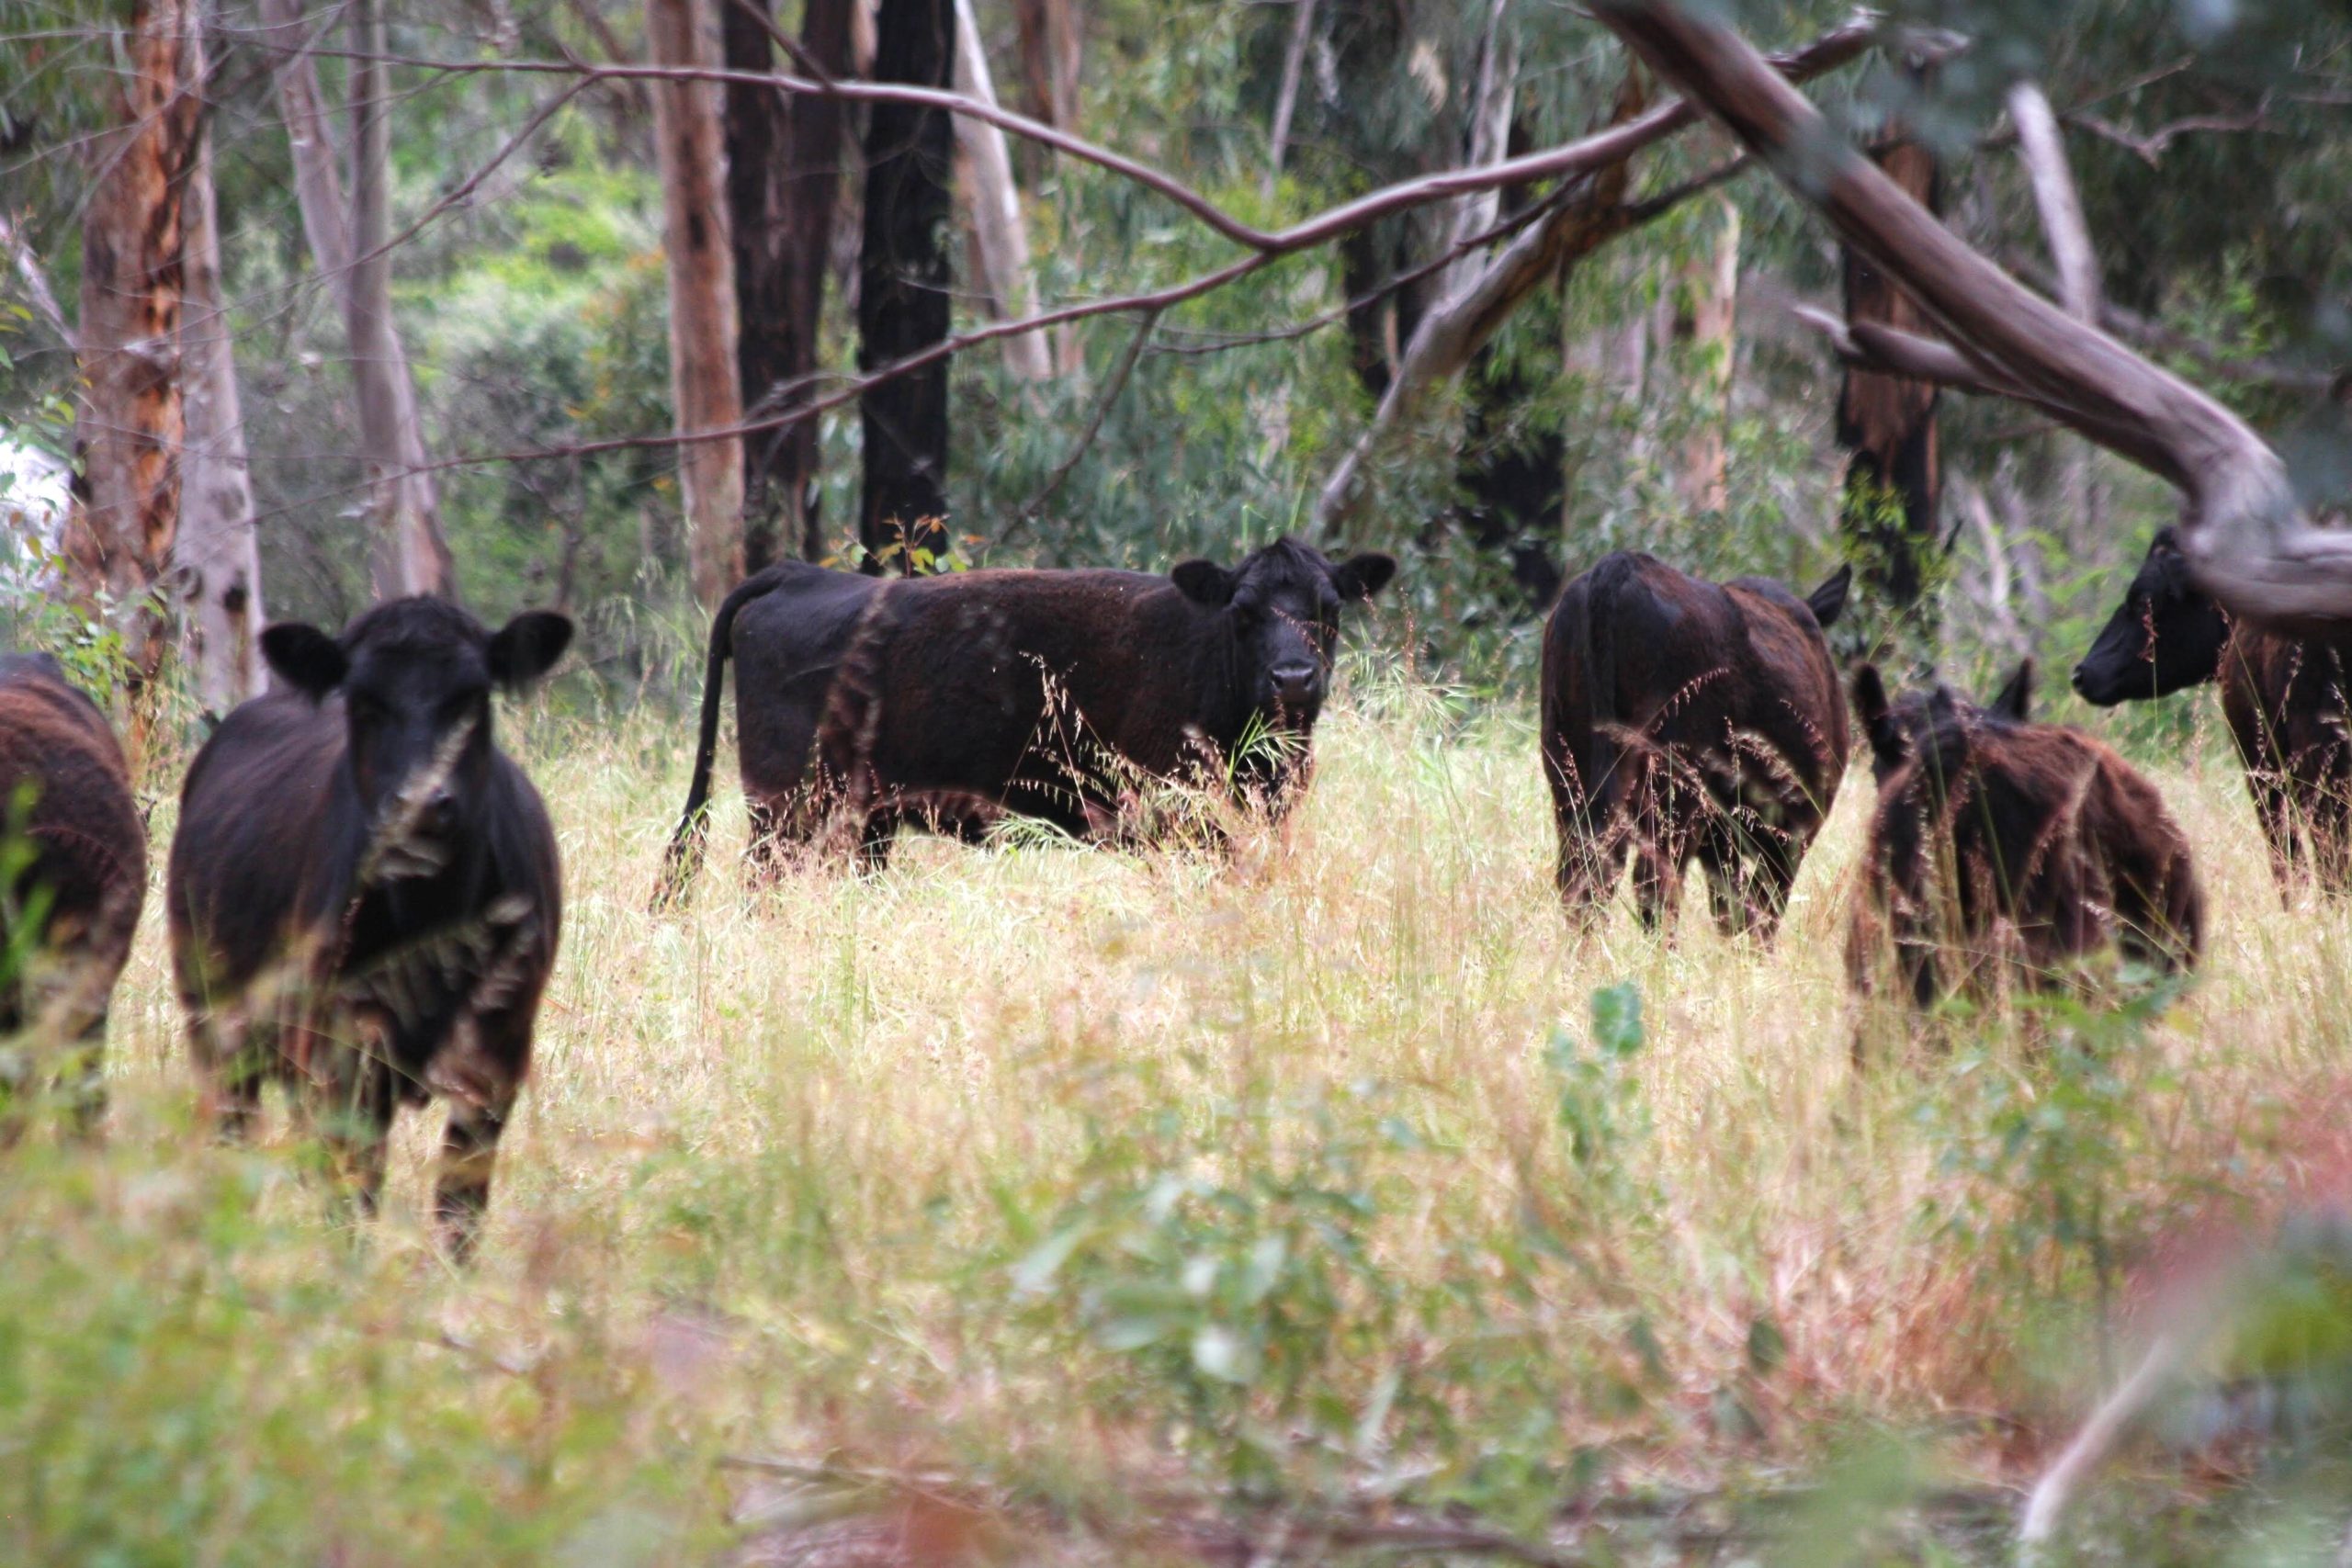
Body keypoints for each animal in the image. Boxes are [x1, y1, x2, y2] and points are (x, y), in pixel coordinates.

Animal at [167, 598, 570, 1256]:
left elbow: (459, 1205)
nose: (423, 803)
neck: (429, 914)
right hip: (216, 1019)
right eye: (363, 701)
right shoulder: (341, 1052)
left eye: (472, 697)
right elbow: (353, 1194)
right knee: (235, 1134)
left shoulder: (498, 1049)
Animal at [659, 537, 1397, 888]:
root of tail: (796, 572)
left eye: (1330, 608)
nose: (1293, 678)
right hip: (784, 808)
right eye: (1243, 612)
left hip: (866, 818)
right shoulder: (1180, 817)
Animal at [1539, 551, 1851, 936]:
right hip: (1674, 788)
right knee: (1655, 883)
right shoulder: (1791, 831)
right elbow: (1759, 913)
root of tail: (1622, 564)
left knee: (1584, 874)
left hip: (1568, 767)